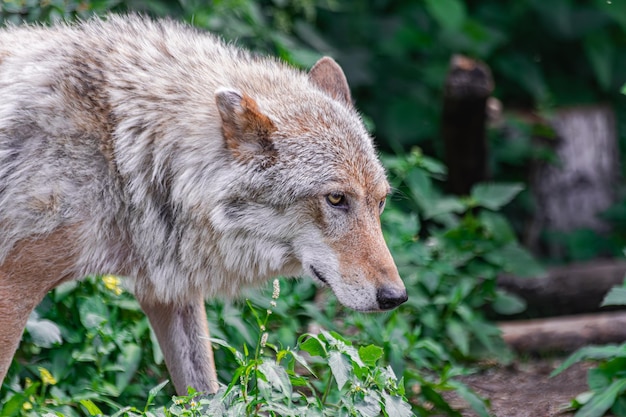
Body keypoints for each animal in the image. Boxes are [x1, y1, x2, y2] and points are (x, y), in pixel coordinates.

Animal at [0, 15, 408, 394]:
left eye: (380, 202)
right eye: (336, 199)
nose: (396, 297)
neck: (121, 148)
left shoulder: (167, 291)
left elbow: (203, 392)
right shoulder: (15, 283)